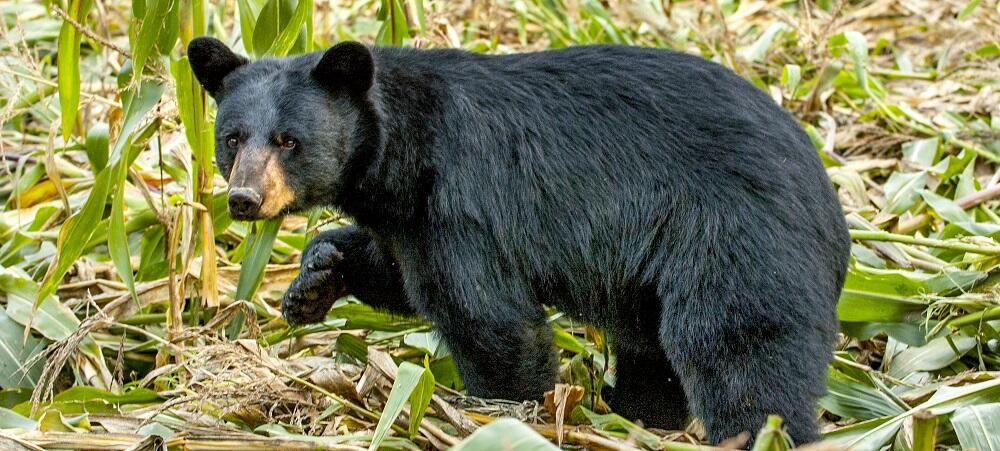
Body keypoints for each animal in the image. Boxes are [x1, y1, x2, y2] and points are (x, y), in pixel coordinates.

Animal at [188, 36, 851, 445]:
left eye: (289, 141)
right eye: (233, 138)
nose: (244, 199)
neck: (404, 153)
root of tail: (827, 191)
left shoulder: (462, 201)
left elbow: (487, 317)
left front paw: (501, 416)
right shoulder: (411, 215)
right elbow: (401, 274)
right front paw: (314, 279)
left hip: (735, 234)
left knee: (740, 346)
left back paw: (753, 431)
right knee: (653, 347)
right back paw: (639, 414)